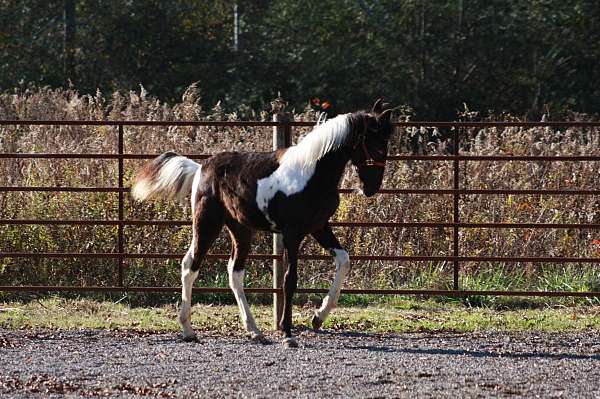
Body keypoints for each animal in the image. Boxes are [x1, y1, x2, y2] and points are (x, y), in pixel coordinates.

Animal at [132, 99, 394, 346]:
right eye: (376, 144)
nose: (372, 187)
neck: (312, 174)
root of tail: (199, 169)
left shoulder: (319, 227)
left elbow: (344, 260)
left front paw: (318, 317)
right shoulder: (292, 233)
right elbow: (289, 280)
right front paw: (288, 334)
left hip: (240, 230)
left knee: (234, 272)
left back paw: (254, 331)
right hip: (207, 223)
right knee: (191, 266)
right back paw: (189, 331)